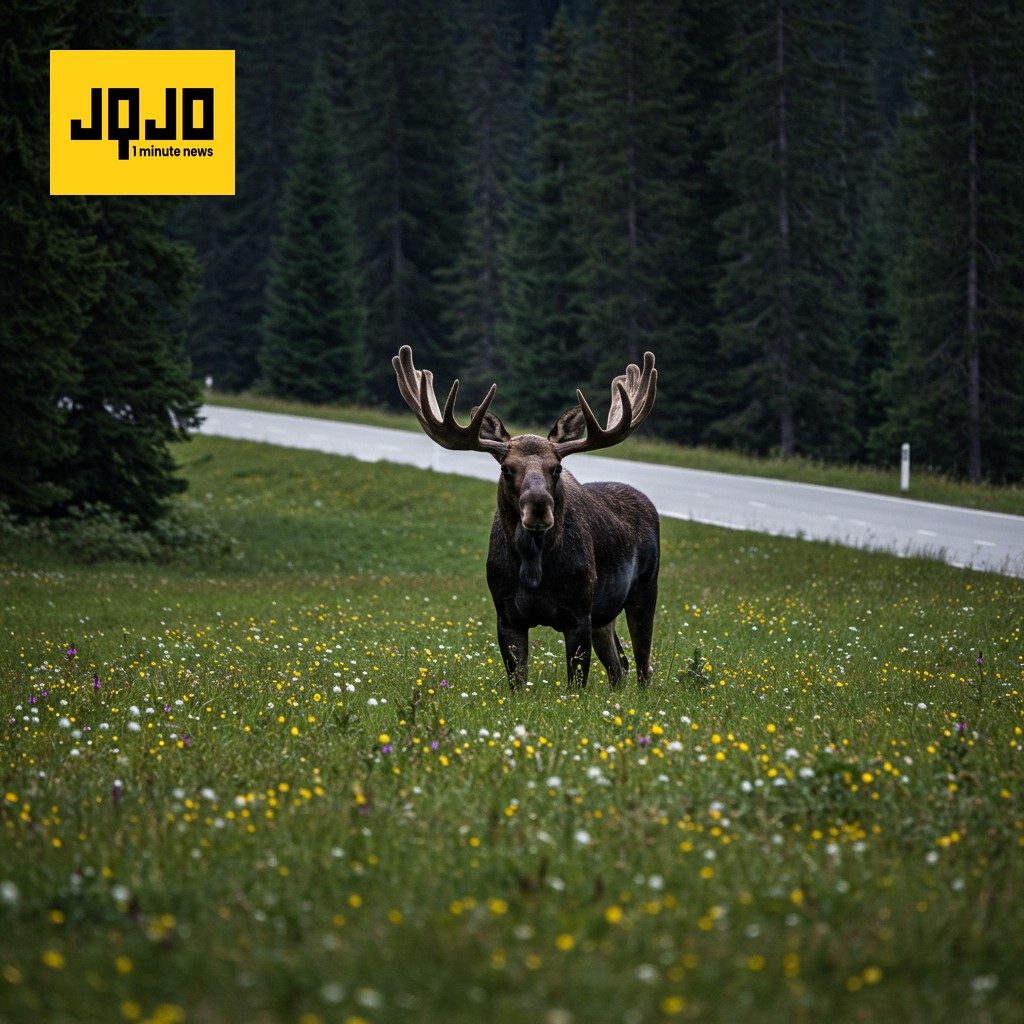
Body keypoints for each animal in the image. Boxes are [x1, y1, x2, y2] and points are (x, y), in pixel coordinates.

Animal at [392, 345, 660, 690]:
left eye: (556, 468)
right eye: (507, 469)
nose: (538, 507)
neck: (533, 565)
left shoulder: (578, 613)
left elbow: (576, 685)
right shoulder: (506, 614)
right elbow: (517, 682)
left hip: (644, 588)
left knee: (642, 665)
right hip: (604, 615)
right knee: (619, 665)